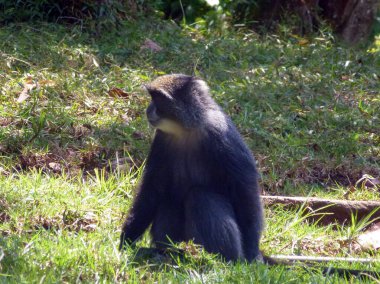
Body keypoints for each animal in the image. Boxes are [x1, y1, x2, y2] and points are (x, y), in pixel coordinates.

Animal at [120, 74, 262, 262]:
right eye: (152, 98)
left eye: (158, 99)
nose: (149, 110)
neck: (186, 131)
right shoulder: (162, 139)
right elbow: (151, 189)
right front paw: (126, 240)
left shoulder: (221, 135)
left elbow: (245, 191)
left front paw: (252, 254)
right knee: (169, 199)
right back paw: (168, 252)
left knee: (200, 195)